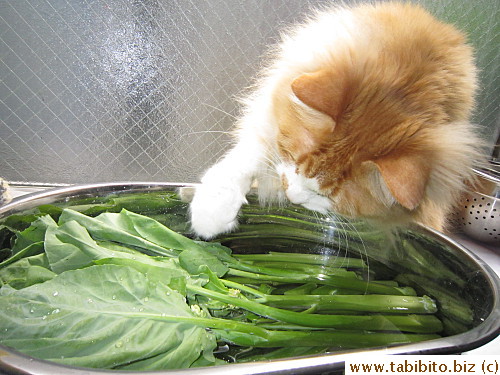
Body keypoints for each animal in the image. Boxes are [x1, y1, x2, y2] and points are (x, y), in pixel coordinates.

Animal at [188, 1, 484, 239]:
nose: (292, 196)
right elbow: (247, 156)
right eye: (292, 158)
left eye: (327, 195)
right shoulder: (270, 105)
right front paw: (212, 210)